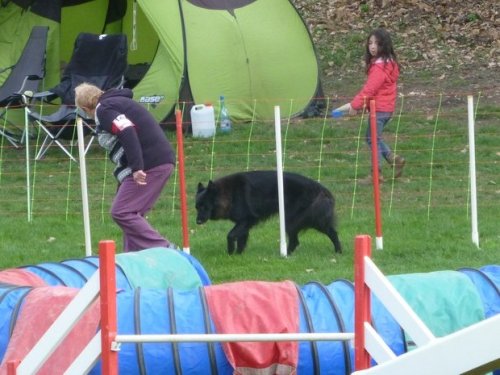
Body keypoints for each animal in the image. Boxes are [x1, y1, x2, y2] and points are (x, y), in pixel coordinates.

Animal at [194, 171, 340, 256]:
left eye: (204, 207)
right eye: (196, 207)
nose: (198, 222)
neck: (230, 194)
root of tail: (320, 188)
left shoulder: (247, 219)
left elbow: (230, 235)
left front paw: (230, 252)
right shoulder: (244, 223)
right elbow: (241, 238)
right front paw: (238, 255)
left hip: (297, 220)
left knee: (331, 233)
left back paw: (338, 251)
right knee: (296, 241)